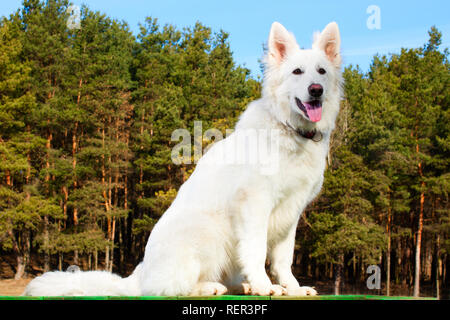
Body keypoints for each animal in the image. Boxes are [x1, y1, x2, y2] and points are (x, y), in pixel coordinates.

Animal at [24, 21, 342, 298]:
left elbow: (283, 258)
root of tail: (139, 276)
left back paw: (242, 286)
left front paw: (293, 287)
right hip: (207, 233)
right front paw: (265, 286)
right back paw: (213, 287)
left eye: (321, 72)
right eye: (297, 72)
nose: (316, 90)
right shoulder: (254, 205)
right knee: (174, 288)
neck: (289, 130)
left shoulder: (291, 213)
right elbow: (255, 250)